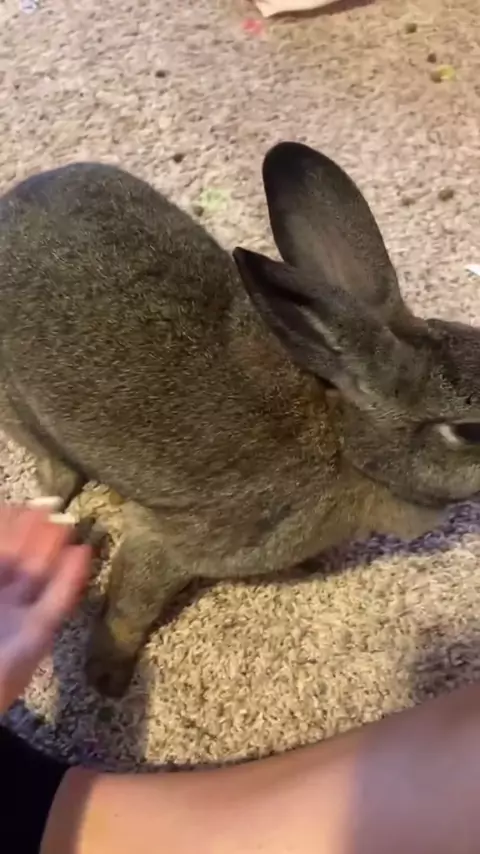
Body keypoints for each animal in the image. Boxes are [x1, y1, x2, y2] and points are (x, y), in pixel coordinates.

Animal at [1, 141, 480, 698]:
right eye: (468, 430)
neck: (343, 443)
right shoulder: (176, 542)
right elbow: (131, 604)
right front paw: (107, 677)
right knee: (56, 475)